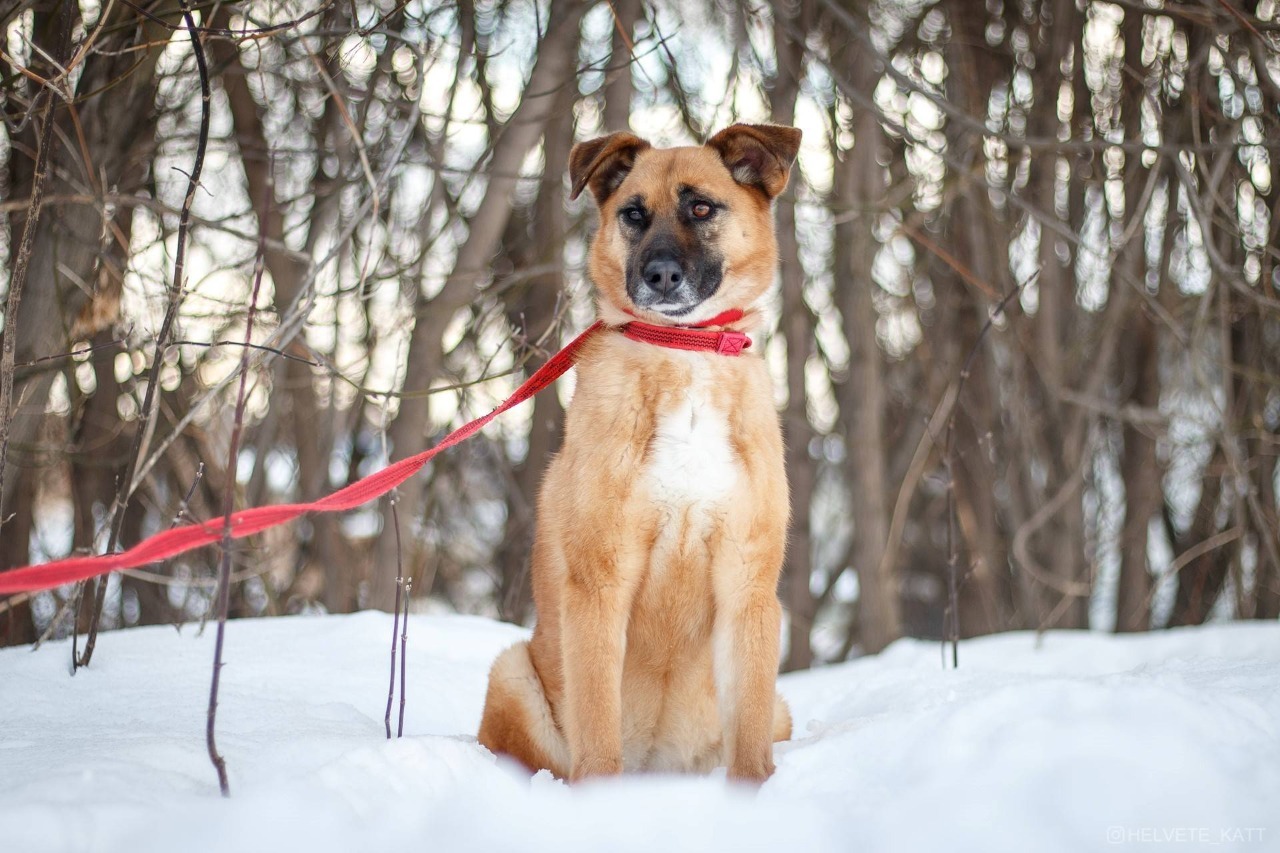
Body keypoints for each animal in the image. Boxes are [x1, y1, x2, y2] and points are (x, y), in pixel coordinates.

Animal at [478, 122, 798, 778]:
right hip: (513, 675)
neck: (683, 350)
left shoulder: (749, 586)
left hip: (778, 708)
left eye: (701, 208)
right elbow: (598, 731)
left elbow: (751, 750)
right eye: (632, 214)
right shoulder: (599, 585)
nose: (660, 276)